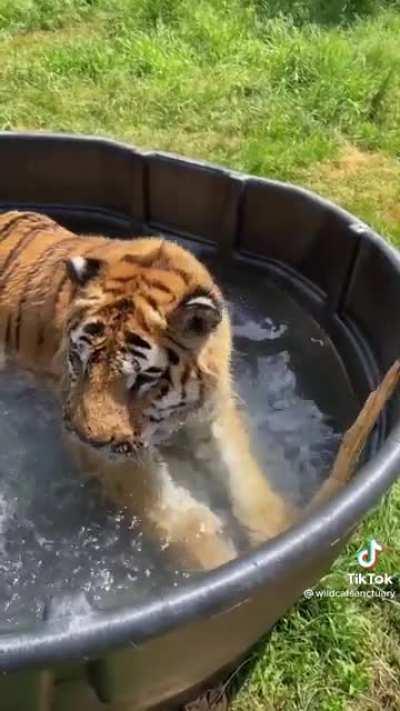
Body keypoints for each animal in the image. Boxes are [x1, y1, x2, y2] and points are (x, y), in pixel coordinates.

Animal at [0, 209, 299, 570]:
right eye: (78, 360)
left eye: (142, 379)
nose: (89, 438)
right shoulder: (109, 452)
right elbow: (180, 519)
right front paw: (223, 561)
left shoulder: (212, 413)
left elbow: (244, 476)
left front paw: (279, 531)